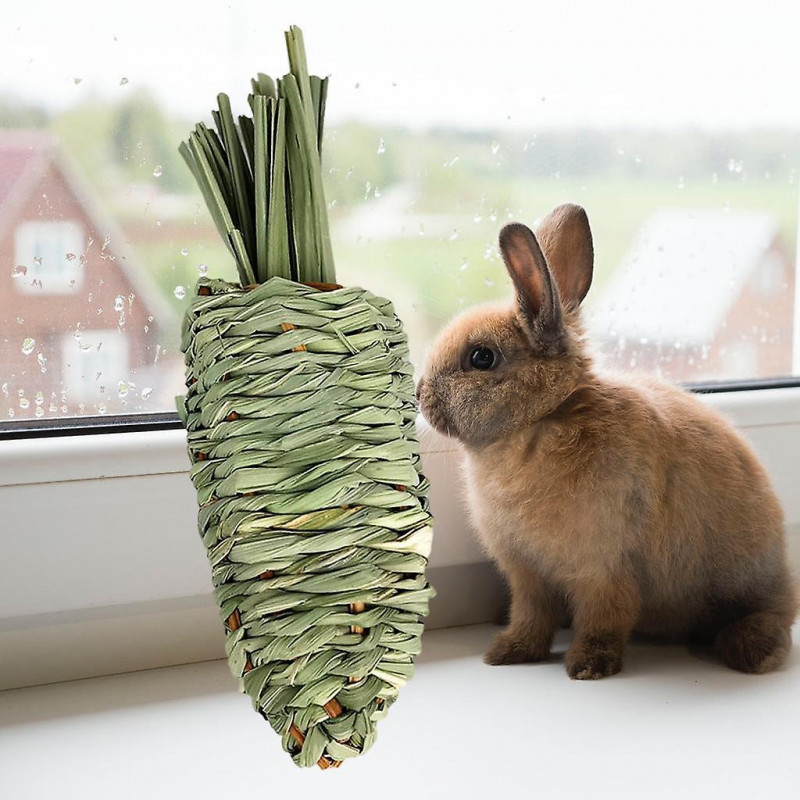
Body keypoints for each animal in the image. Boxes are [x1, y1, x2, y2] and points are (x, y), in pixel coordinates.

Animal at [416, 203, 797, 679]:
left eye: (481, 357)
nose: (419, 393)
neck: (543, 419)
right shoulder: (527, 575)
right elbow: (531, 615)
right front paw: (508, 652)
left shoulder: (604, 568)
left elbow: (605, 617)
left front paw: (588, 666)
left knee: (771, 617)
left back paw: (752, 651)